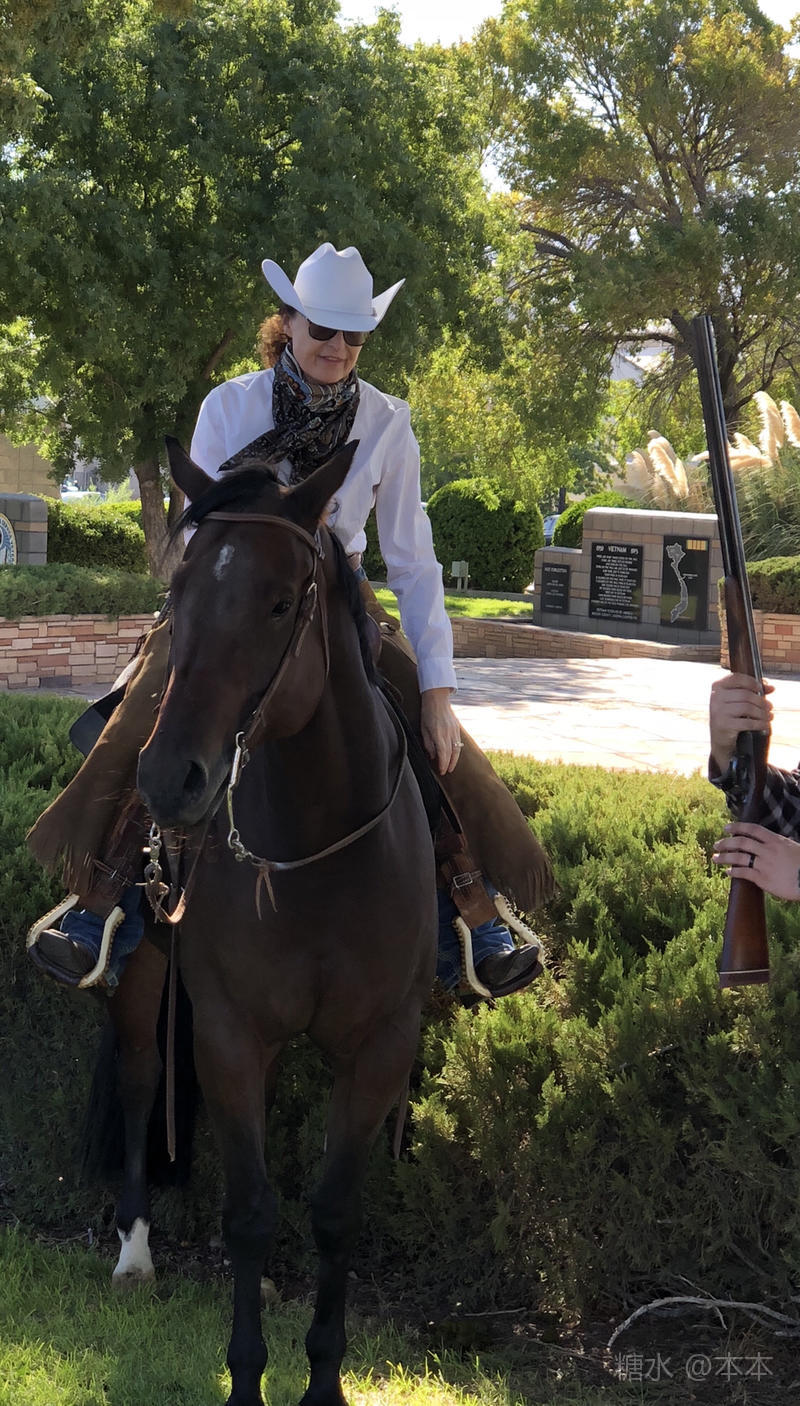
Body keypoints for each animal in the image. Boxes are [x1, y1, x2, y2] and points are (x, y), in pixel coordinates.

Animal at [100, 435, 437, 1406]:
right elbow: (250, 1214)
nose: (170, 777)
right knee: (140, 1080)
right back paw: (134, 1252)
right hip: (144, 976)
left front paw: (323, 1378)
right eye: (178, 591)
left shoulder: (381, 1044)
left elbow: (334, 1214)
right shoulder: (229, 1033)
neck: (313, 853)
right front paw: (247, 1377)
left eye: (283, 600)